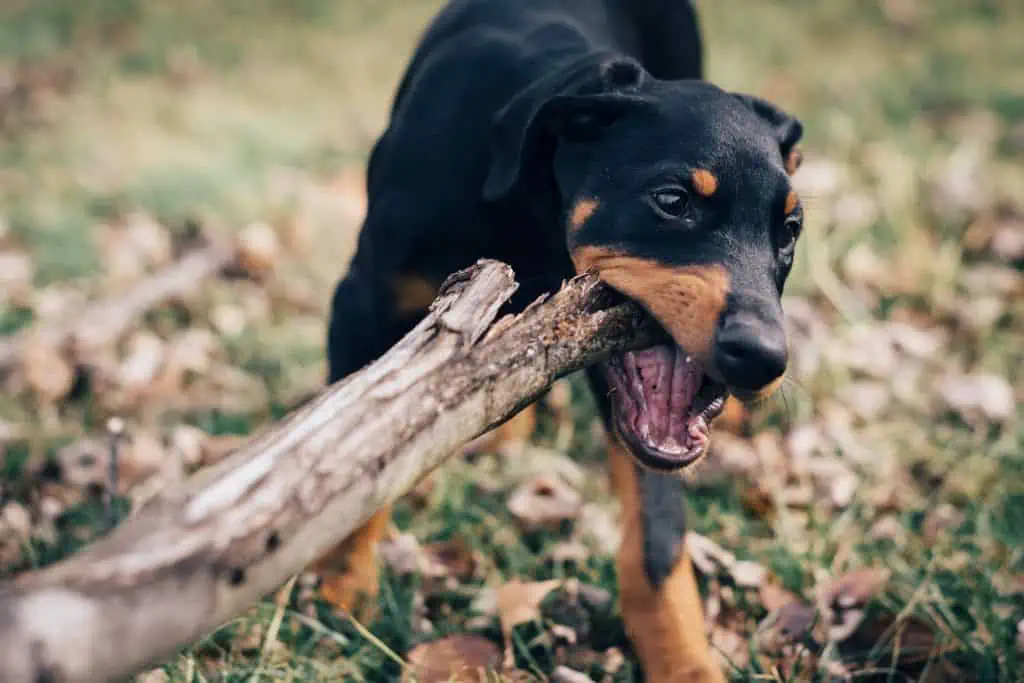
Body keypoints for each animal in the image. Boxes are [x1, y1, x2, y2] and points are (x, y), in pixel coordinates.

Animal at [309, 2, 798, 679]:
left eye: (791, 231)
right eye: (671, 200)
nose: (762, 358)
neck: (530, 209)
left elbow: (657, 534)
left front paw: (684, 661)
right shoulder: (358, 305)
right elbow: (356, 468)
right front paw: (341, 591)